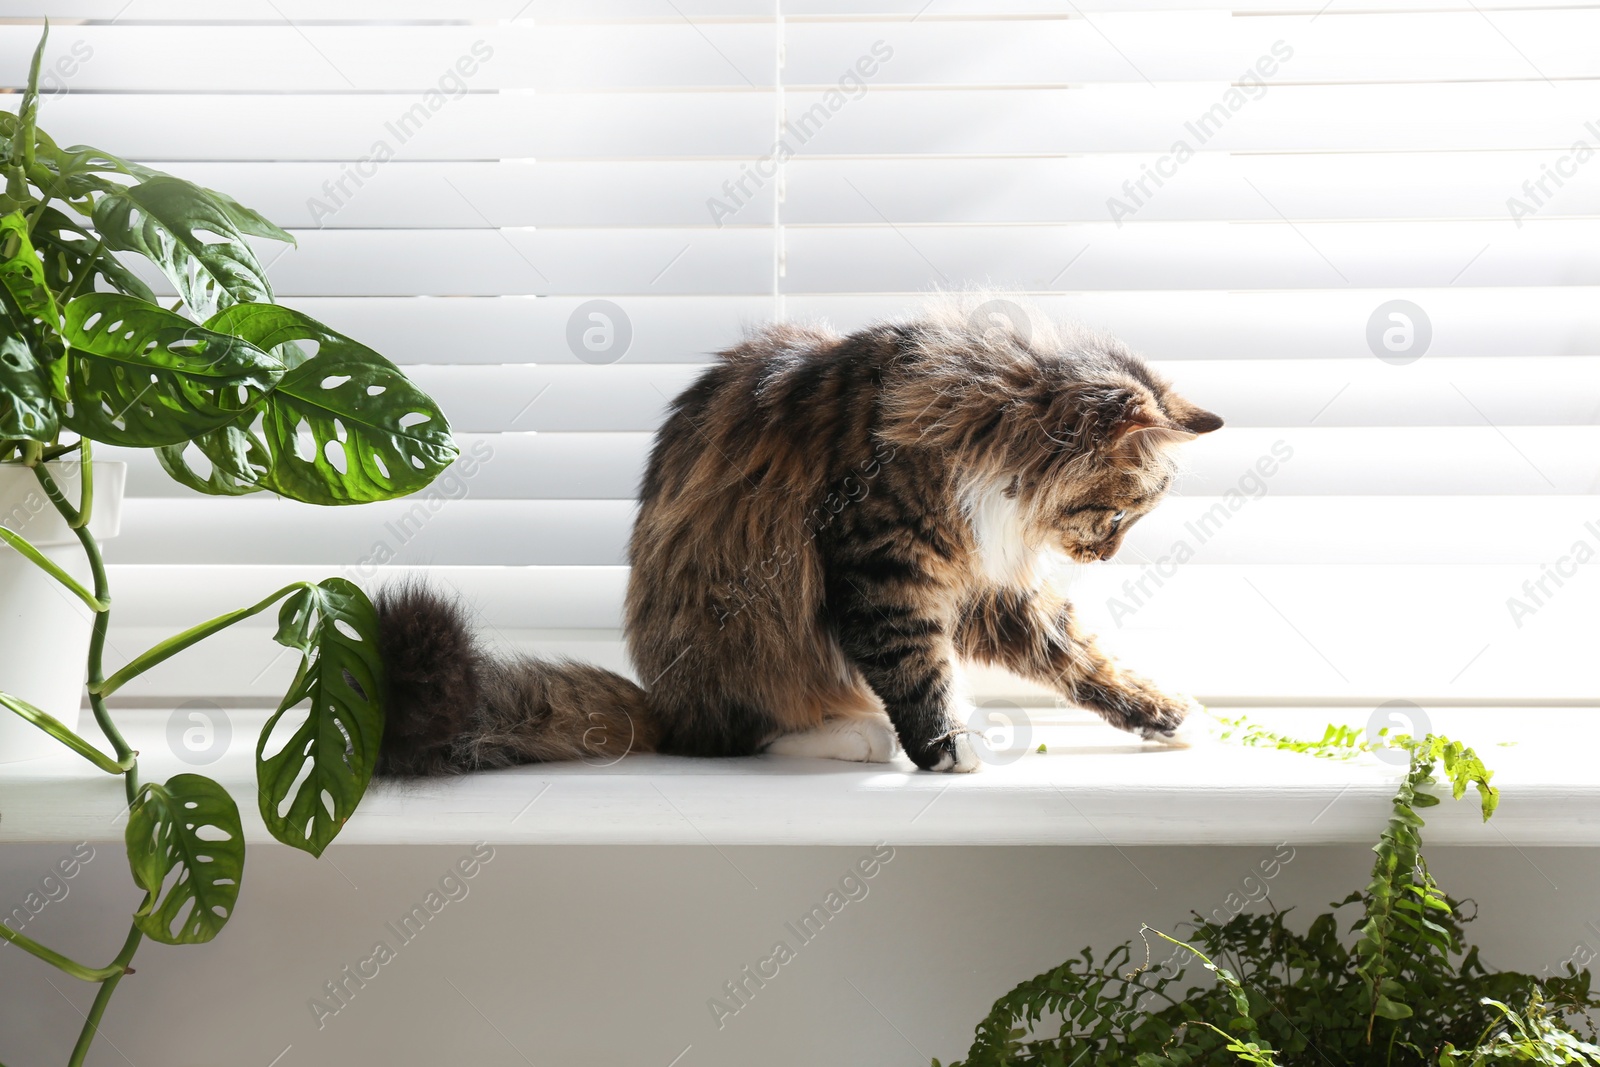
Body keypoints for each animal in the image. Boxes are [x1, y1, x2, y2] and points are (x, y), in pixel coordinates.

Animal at [377, 299, 1222, 777]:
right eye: (1121, 514)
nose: (1105, 555)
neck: (982, 423)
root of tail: (665, 700)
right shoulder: (882, 569)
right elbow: (916, 670)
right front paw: (944, 750)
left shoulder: (983, 583)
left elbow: (1080, 658)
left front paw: (1167, 714)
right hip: (746, 614)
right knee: (741, 736)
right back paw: (860, 737)